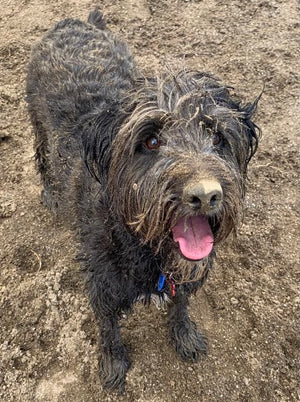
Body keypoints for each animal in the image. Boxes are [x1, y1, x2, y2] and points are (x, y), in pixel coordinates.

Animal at [26, 8, 260, 392]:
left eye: (217, 136)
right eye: (150, 141)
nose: (205, 195)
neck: (145, 246)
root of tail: (74, 22)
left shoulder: (181, 276)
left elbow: (180, 305)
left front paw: (184, 335)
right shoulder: (101, 283)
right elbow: (107, 326)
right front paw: (112, 362)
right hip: (37, 121)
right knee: (42, 154)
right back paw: (49, 192)